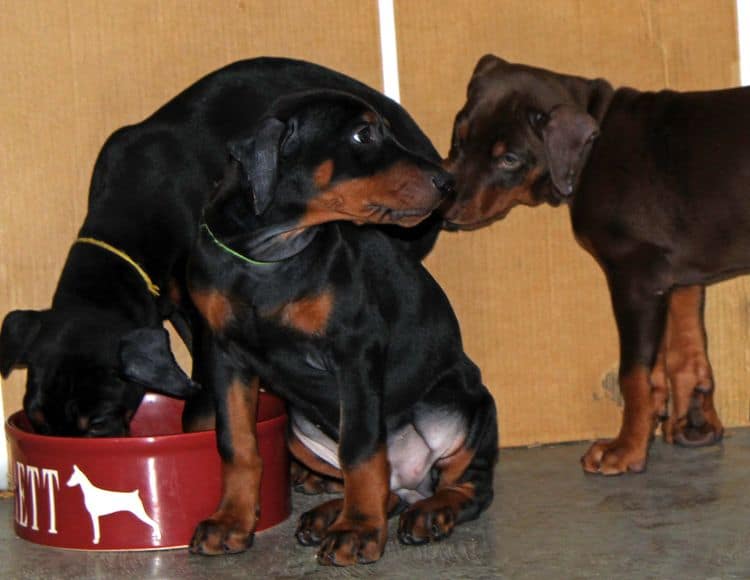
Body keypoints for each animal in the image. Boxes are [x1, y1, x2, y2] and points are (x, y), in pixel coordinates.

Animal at [0, 59, 440, 438]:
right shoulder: (185, 308)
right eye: (37, 420)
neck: (139, 193)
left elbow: (201, 403)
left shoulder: (201, 308)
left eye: (98, 422)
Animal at [148, 92, 500, 568]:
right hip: (297, 427)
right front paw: (231, 521)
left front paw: (358, 530)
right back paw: (329, 513)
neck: (269, 254)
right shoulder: (224, 354)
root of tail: (414, 483)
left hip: (467, 404)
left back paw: (429, 513)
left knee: (468, 487)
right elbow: (237, 443)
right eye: (363, 134)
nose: (448, 182)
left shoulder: (354, 350)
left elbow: (362, 448)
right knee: (389, 489)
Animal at [440, 55, 748, 476]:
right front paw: (692, 423)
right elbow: (683, 350)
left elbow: (633, 373)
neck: (590, 154)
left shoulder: (634, 278)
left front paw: (626, 449)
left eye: (509, 158)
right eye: (459, 138)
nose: (444, 212)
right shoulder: (678, 275)